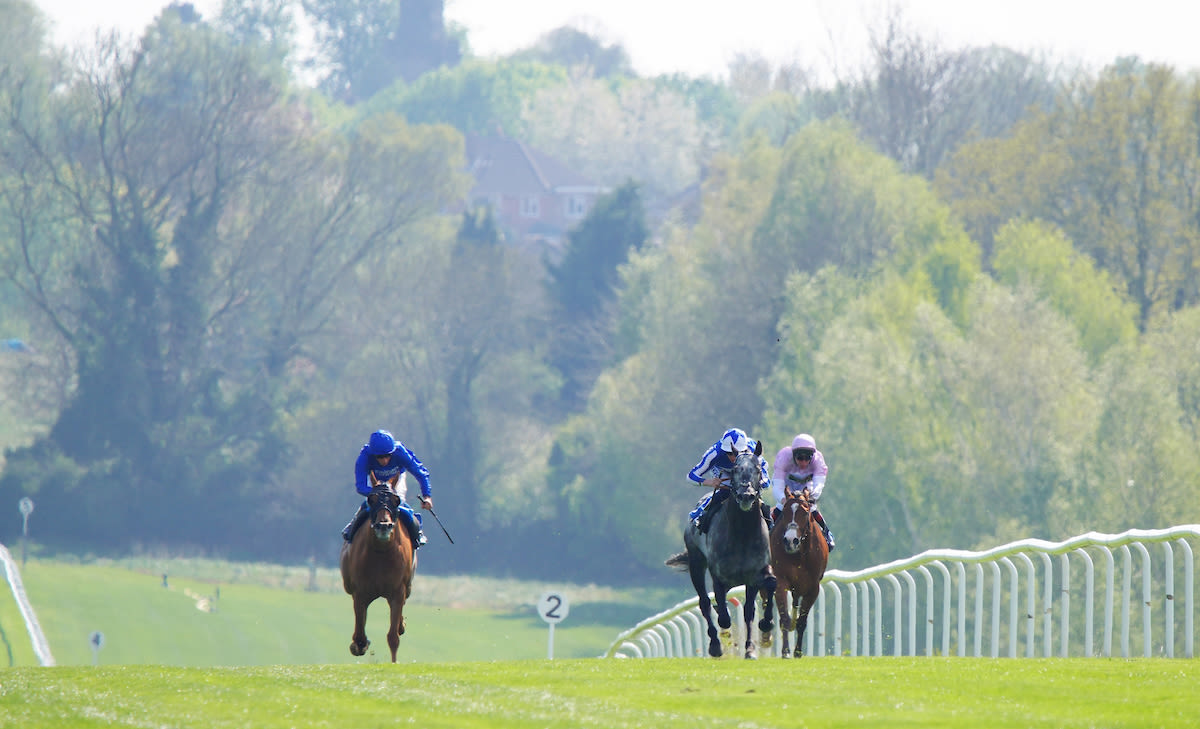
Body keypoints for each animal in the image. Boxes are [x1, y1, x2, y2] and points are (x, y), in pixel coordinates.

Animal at [340, 470, 415, 661]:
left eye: (396, 500)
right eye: (371, 499)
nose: (384, 526)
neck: (382, 553)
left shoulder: (397, 591)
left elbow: (393, 636)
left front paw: (394, 662)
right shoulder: (360, 592)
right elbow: (359, 636)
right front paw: (359, 645)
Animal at [772, 486, 830, 657]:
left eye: (805, 512)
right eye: (784, 511)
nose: (791, 540)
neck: (798, 554)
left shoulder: (812, 588)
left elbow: (802, 622)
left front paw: (798, 652)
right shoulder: (780, 581)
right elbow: (784, 619)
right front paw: (785, 651)